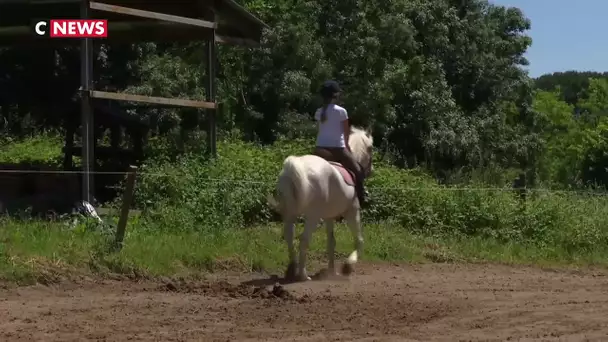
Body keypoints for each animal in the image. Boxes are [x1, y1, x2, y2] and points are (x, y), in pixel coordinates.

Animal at [268, 127, 372, 282]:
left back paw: (292, 269)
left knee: (289, 236)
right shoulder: (352, 211)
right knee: (304, 239)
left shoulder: (329, 216)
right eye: (371, 148)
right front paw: (347, 266)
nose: (370, 170)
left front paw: (331, 271)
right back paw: (303, 275)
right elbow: (359, 240)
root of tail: (293, 167)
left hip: (290, 212)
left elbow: (331, 242)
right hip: (313, 216)